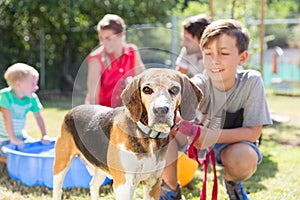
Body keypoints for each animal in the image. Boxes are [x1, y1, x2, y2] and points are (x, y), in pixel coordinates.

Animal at [52, 68, 203, 199]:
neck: (149, 137)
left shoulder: (153, 183)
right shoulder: (124, 186)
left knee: (93, 186)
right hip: (61, 164)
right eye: (147, 89)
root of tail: (72, 110)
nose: (160, 110)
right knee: (58, 189)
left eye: (174, 90)